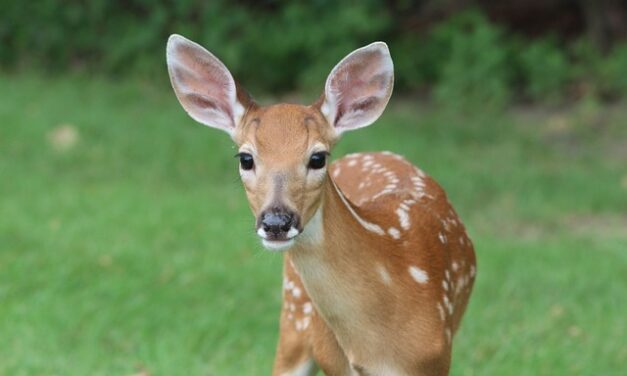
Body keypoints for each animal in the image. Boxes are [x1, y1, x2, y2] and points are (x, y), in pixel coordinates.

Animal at [167, 33, 476, 374]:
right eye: (245, 158)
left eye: (318, 157)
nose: (276, 222)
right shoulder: (333, 361)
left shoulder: (435, 358)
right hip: (294, 316)